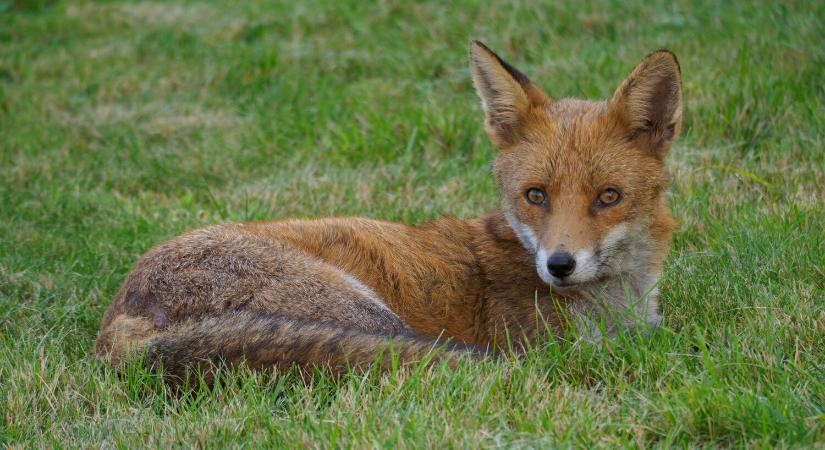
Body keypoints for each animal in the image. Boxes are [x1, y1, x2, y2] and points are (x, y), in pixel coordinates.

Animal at [91, 41, 684, 380]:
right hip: (369, 317)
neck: (618, 309)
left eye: (608, 197)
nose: (559, 265)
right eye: (535, 195)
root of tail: (120, 318)